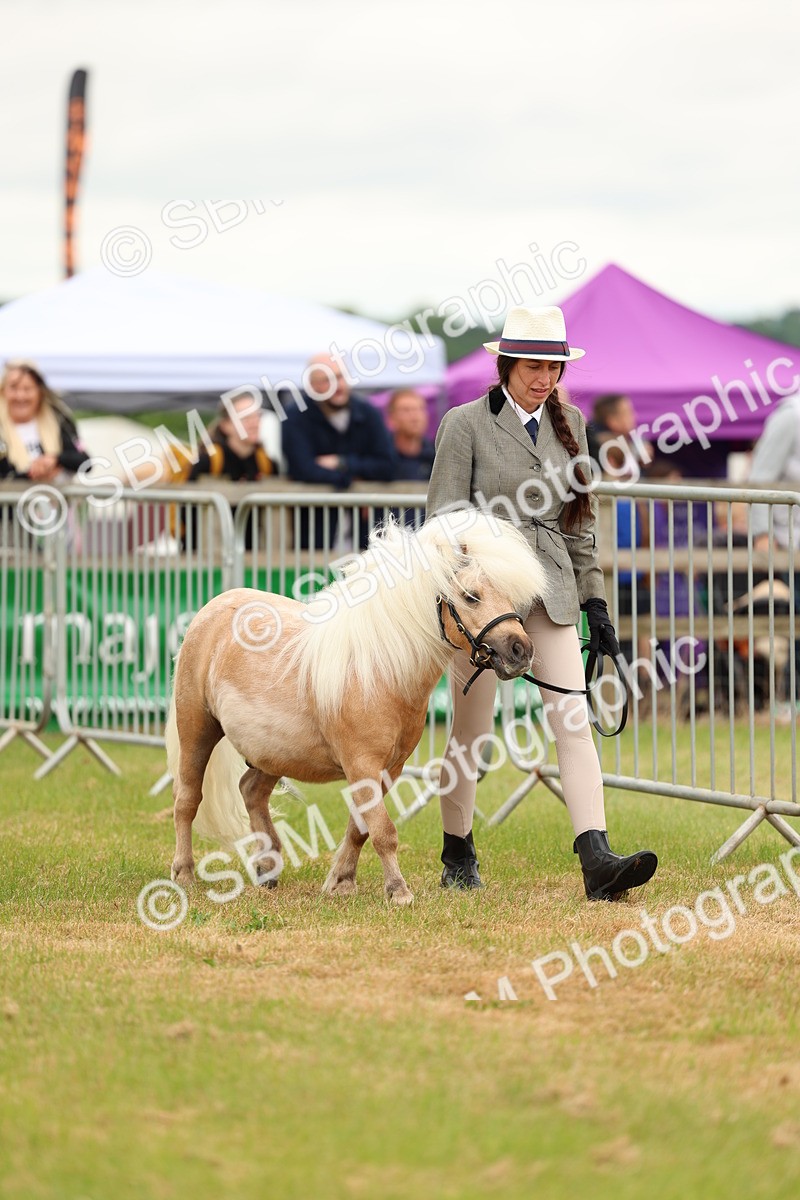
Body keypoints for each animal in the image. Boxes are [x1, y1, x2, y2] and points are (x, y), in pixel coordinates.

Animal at [166, 509, 548, 905]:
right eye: (471, 596)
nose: (521, 651)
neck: (381, 671)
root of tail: (211, 611)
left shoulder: (389, 770)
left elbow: (361, 828)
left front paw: (341, 881)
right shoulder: (362, 765)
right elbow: (383, 830)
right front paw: (398, 892)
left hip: (273, 752)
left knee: (251, 791)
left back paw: (267, 868)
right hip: (197, 730)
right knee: (187, 799)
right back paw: (184, 874)